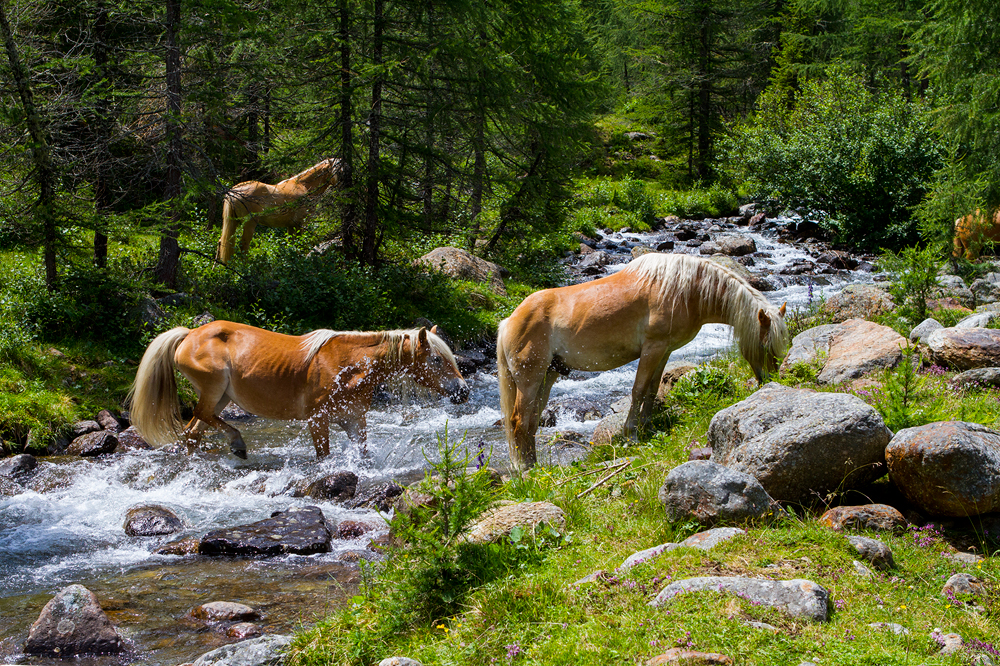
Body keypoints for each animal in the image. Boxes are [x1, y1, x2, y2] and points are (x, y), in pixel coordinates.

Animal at [128, 320, 468, 456]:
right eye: (436, 360)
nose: (463, 391)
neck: (349, 366)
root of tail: (189, 334)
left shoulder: (354, 420)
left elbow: (363, 454)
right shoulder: (318, 421)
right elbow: (324, 455)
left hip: (222, 396)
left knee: (194, 430)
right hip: (214, 388)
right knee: (201, 417)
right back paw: (237, 443)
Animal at [494, 252, 788, 470]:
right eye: (765, 345)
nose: (770, 380)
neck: (685, 290)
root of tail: (509, 320)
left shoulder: (664, 350)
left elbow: (652, 389)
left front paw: (648, 427)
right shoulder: (652, 348)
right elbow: (637, 390)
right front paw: (631, 436)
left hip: (549, 375)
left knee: (532, 420)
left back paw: (535, 465)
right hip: (530, 379)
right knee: (519, 420)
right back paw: (525, 469)